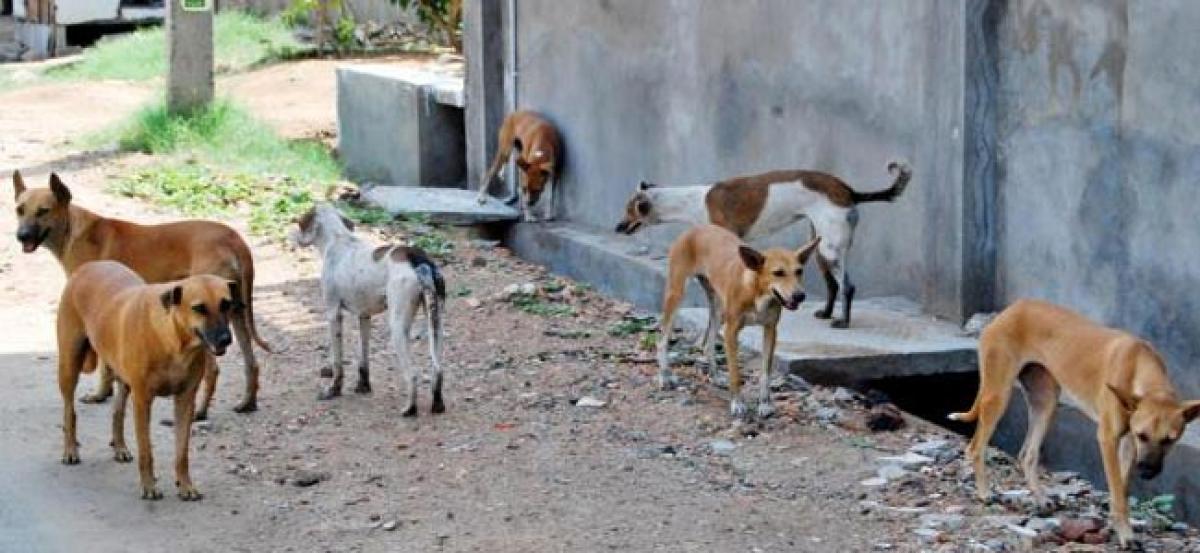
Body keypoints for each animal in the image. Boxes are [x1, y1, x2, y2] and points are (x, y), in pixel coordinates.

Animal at [10, 170, 272, 415]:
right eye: (19, 210)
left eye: (43, 211)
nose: (21, 236)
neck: (72, 230)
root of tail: (234, 239)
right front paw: (105, 393)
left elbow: (103, 365)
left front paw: (100, 394)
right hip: (234, 313)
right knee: (252, 363)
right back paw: (247, 403)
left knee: (214, 370)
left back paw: (200, 412)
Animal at [54, 260, 236, 499]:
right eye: (199, 308)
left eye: (226, 304)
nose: (226, 339)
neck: (173, 341)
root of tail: (89, 265)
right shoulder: (142, 400)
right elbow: (146, 449)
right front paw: (149, 485)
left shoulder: (185, 400)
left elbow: (182, 452)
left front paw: (185, 485)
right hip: (69, 365)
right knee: (69, 411)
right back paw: (70, 449)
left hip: (123, 378)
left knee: (117, 411)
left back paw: (120, 447)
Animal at [292, 202, 448, 412]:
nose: (294, 236)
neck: (338, 239)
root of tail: (416, 257)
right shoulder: (364, 316)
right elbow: (363, 359)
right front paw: (363, 386)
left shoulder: (333, 314)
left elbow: (337, 362)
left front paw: (333, 390)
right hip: (436, 323)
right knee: (438, 369)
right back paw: (437, 404)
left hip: (398, 329)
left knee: (413, 374)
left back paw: (409, 409)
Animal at [619, 161, 907, 328]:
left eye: (629, 211)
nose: (617, 227)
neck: (693, 200)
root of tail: (849, 191)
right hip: (820, 249)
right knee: (833, 285)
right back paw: (826, 314)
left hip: (830, 250)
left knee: (847, 286)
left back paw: (843, 322)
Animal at [652, 224, 820, 417]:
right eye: (778, 273)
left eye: (799, 271)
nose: (800, 296)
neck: (757, 293)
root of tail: (696, 228)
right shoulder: (731, 331)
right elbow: (735, 373)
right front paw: (737, 403)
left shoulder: (770, 330)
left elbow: (765, 373)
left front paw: (764, 404)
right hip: (677, 295)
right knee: (662, 340)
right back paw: (664, 376)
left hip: (718, 309)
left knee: (708, 345)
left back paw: (715, 376)